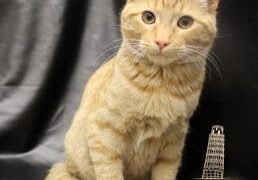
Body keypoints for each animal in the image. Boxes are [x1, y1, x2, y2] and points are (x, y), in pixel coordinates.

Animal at [45, 0, 219, 179]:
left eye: (185, 22)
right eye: (148, 17)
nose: (161, 42)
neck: (160, 84)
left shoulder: (174, 141)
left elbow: (165, 173)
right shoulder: (104, 133)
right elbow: (110, 173)